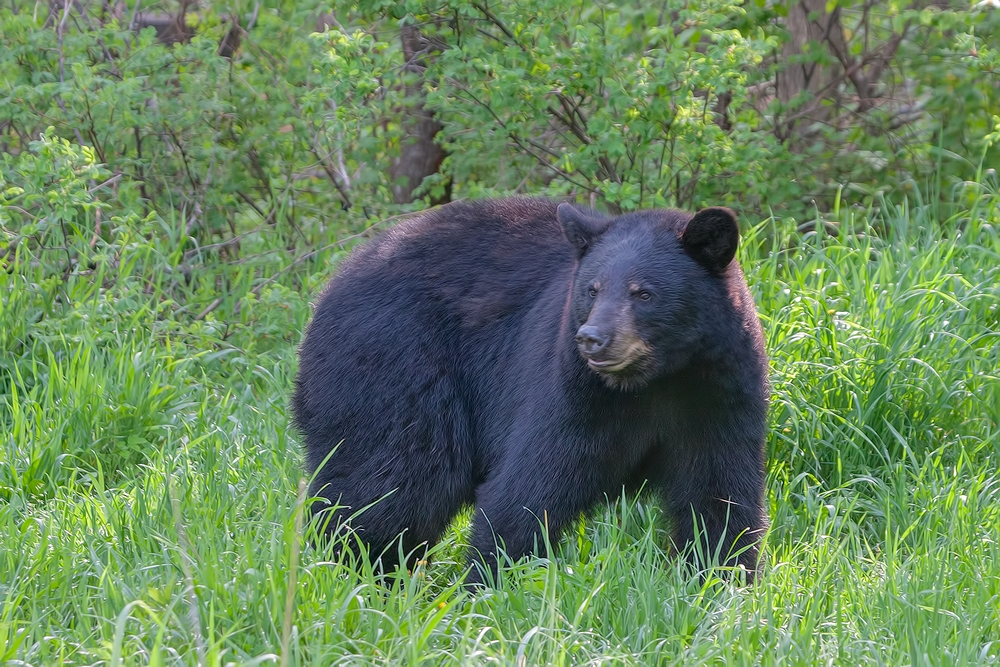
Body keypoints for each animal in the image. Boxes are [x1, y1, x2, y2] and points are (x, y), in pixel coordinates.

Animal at [292, 198, 768, 584]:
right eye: (592, 288)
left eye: (644, 293)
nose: (592, 338)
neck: (655, 381)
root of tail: (333, 283)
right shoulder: (573, 395)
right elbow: (530, 488)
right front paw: (486, 587)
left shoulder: (720, 395)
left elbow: (719, 496)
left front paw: (719, 582)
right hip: (393, 363)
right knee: (395, 479)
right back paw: (358, 570)